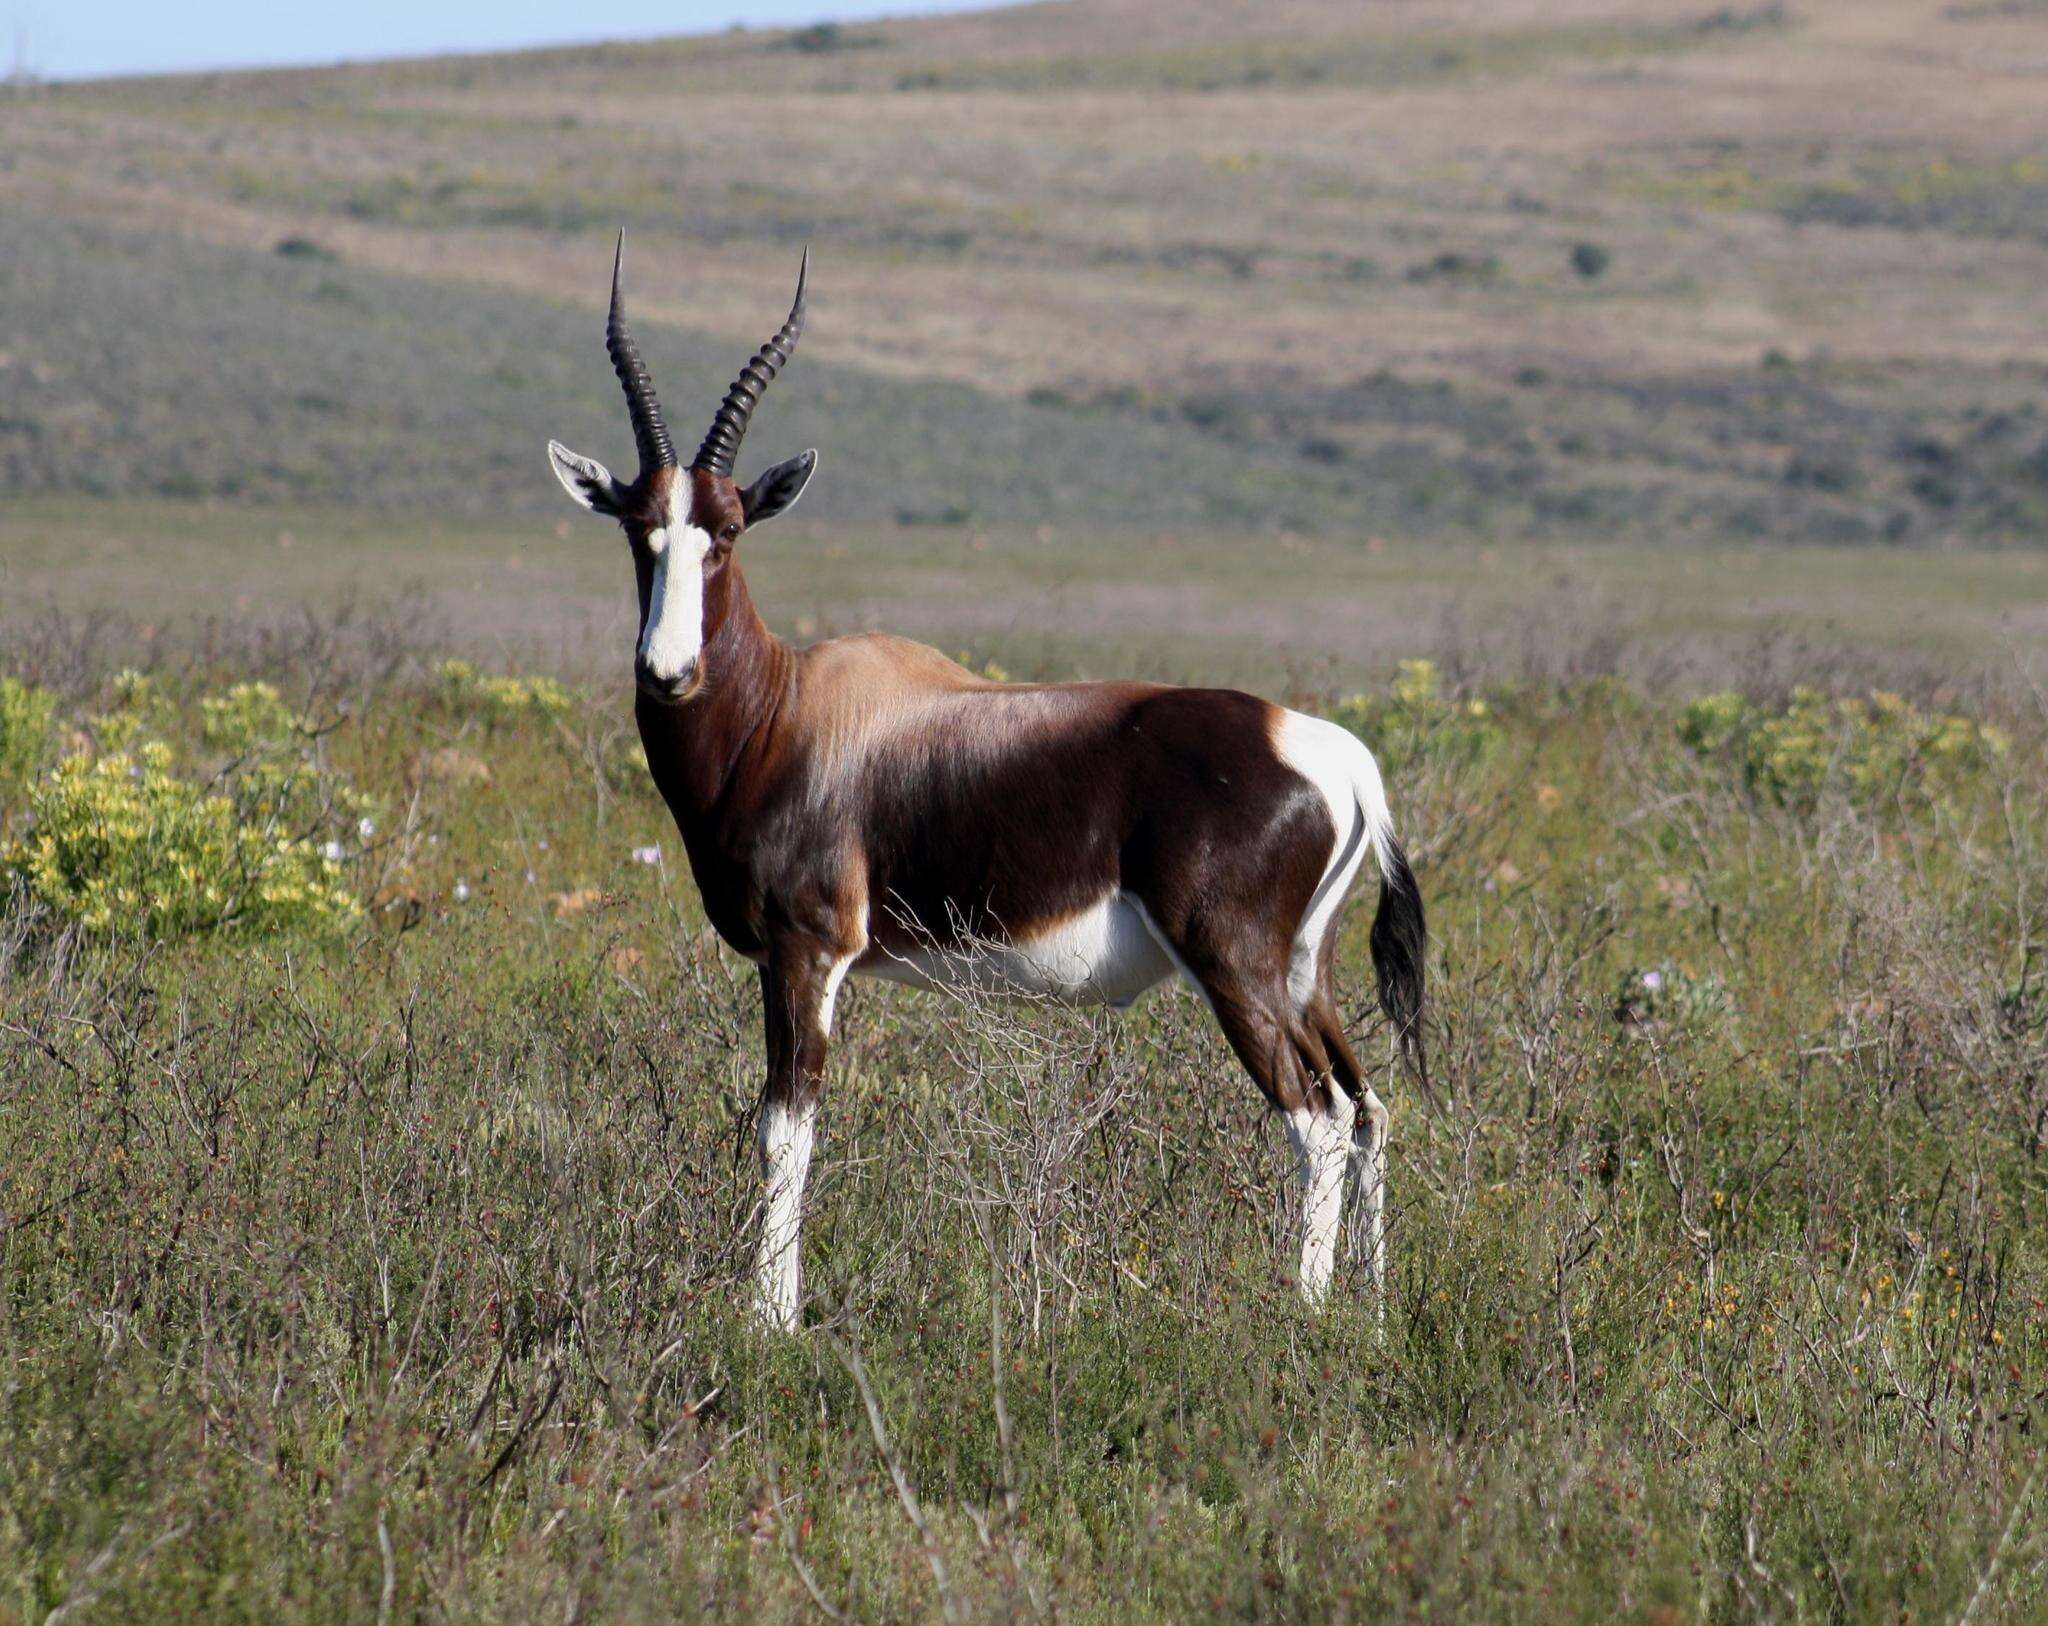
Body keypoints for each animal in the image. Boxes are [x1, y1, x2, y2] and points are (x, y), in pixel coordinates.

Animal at [552, 243, 1433, 1327]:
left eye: (727, 530)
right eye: (640, 527)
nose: (668, 672)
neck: (789, 711)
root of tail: (1331, 755)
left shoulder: (807, 953)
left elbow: (784, 1130)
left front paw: (770, 1320)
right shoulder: (783, 962)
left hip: (1235, 967)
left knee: (1314, 1119)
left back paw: (1302, 1314)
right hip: (1305, 971)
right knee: (1367, 1105)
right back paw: (1373, 1310)